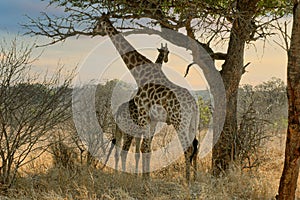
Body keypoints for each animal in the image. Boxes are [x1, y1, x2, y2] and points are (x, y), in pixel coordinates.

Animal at [94, 13, 199, 183]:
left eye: (98, 22)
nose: (94, 30)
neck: (140, 75)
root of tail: (194, 105)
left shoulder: (143, 115)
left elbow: (144, 147)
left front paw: (144, 178)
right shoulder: (152, 119)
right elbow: (147, 147)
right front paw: (146, 176)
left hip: (179, 122)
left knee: (188, 148)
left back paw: (187, 180)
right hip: (192, 123)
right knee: (195, 146)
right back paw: (194, 178)